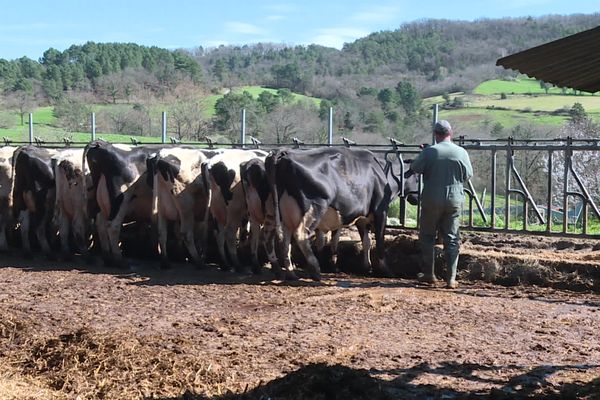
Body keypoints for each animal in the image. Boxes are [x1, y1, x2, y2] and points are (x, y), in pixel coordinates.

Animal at [268, 147, 418, 282]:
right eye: (417, 178)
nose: (416, 199)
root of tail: (285, 154)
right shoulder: (380, 211)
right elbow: (379, 241)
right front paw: (385, 270)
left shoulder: (361, 218)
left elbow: (364, 241)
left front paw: (366, 267)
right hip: (314, 207)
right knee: (301, 234)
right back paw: (315, 270)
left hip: (287, 213)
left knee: (285, 240)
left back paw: (291, 273)